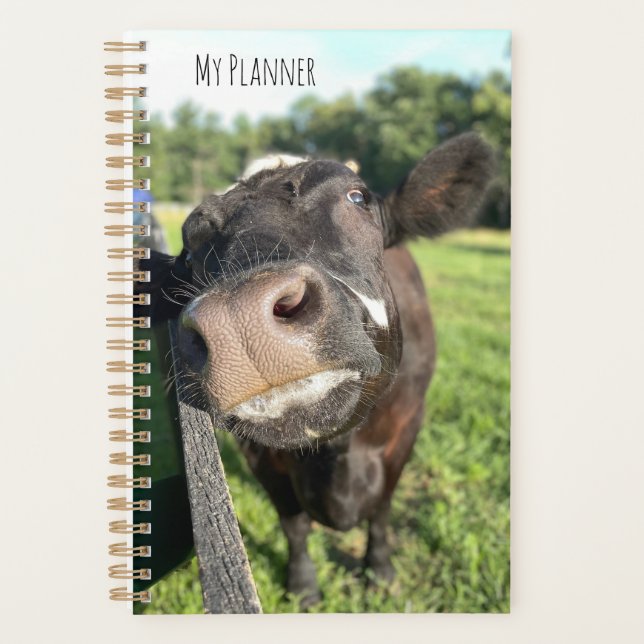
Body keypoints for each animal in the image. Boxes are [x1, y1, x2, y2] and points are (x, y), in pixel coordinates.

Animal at [137, 133, 494, 606]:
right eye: (188, 255)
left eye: (357, 197)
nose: (238, 316)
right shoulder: (258, 453)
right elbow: (293, 522)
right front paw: (303, 585)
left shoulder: (409, 424)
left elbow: (383, 508)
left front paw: (380, 570)